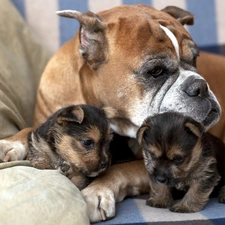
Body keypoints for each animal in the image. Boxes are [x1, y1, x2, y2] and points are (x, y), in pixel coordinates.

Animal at [0, 4, 222, 222]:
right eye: (156, 71)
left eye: (195, 59)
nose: (200, 86)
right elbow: (31, 129)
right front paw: (11, 143)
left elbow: (119, 168)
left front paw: (97, 191)